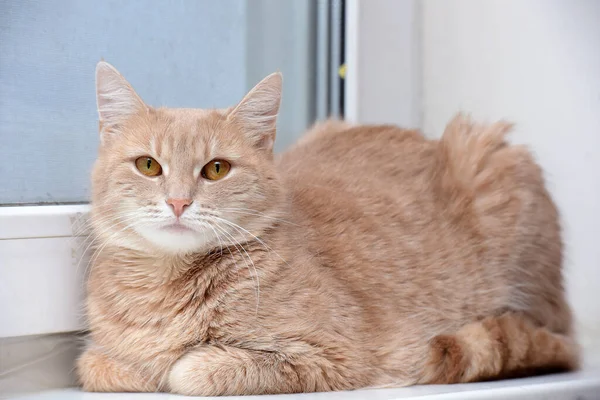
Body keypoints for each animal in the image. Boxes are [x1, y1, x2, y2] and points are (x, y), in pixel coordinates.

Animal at [77, 61, 580, 396]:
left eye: (216, 169)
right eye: (148, 165)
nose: (179, 201)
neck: (163, 292)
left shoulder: (332, 357)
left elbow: (192, 370)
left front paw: (177, 367)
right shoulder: (100, 357)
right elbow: (101, 365)